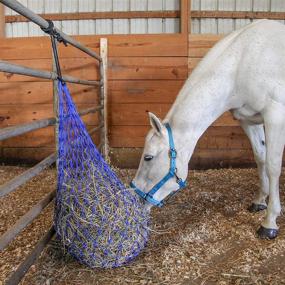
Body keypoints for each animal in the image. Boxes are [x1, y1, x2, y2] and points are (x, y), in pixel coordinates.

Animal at [131, 18, 285, 239]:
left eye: (148, 157)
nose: (136, 196)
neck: (243, 61)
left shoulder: (275, 116)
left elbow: (273, 166)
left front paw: (270, 221)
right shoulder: (248, 120)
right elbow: (260, 158)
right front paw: (260, 201)